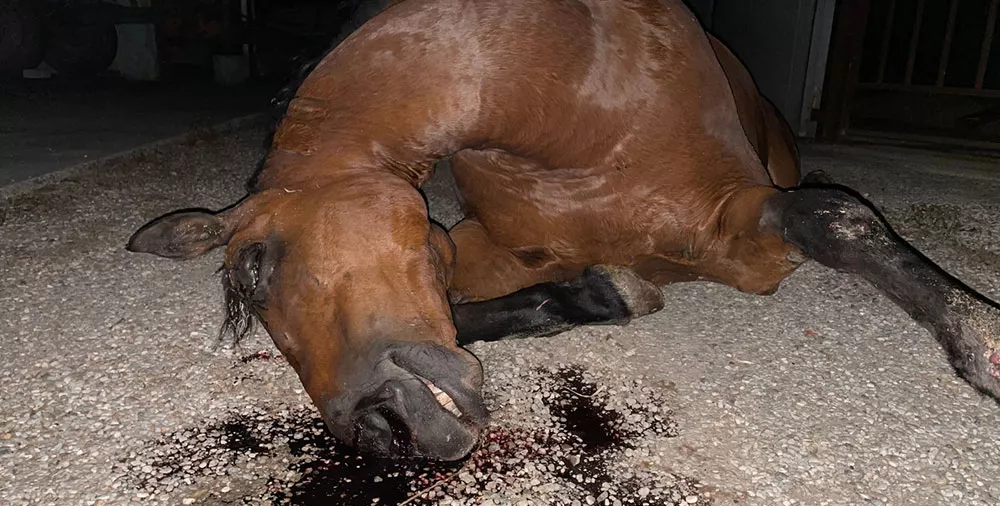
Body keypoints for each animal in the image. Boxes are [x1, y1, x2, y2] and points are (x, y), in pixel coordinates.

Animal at [126, 0, 1000, 462]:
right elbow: (507, 299)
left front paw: (980, 343)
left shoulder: (746, 240)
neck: (575, 109)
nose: (384, 430)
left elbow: (838, 219)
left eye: (258, 265)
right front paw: (586, 296)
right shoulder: (487, 246)